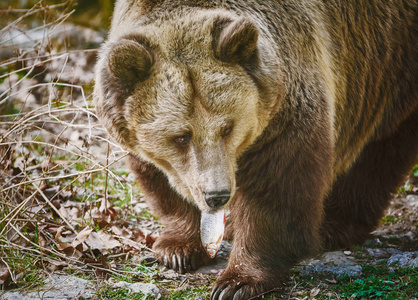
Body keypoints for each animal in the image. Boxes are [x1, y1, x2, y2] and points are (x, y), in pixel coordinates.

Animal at [94, 1, 418, 298]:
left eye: (227, 128)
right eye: (181, 137)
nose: (217, 195)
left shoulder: (286, 105)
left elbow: (276, 187)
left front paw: (238, 281)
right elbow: (161, 179)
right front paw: (177, 249)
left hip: (388, 65)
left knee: (377, 152)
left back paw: (333, 225)